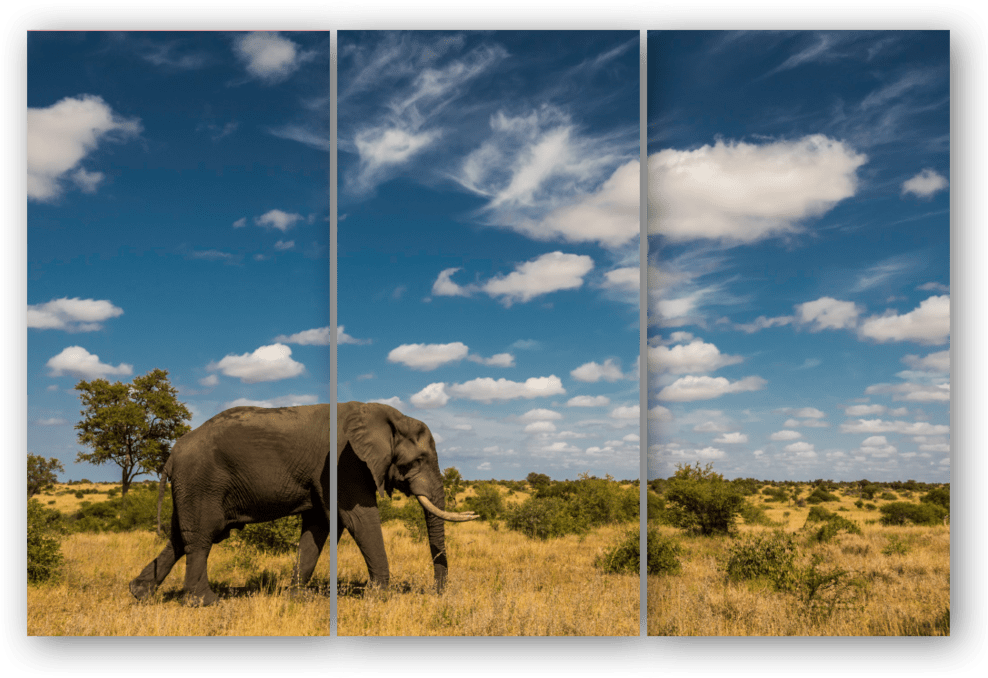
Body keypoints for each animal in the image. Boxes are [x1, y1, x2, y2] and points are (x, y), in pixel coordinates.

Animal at [130, 405, 331, 606]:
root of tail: (172, 456)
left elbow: (318, 523)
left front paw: (298, 597)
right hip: (200, 483)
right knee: (201, 535)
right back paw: (205, 601)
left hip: (187, 488)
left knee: (178, 538)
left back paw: (139, 591)